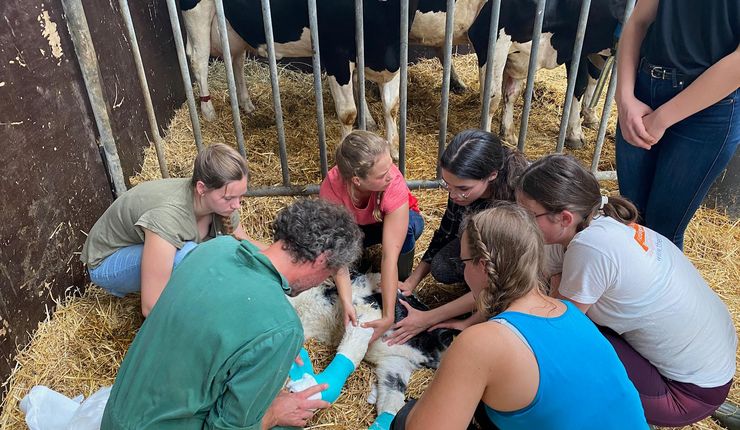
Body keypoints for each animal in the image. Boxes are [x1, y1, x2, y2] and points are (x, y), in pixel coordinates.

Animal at [180, 0, 420, 158]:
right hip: (197, 14)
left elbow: (391, 106)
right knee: (198, 60)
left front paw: (393, 150)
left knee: (235, 59)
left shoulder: (396, 53)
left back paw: (246, 104)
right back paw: (208, 111)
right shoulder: (336, 54)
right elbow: (348, 114)